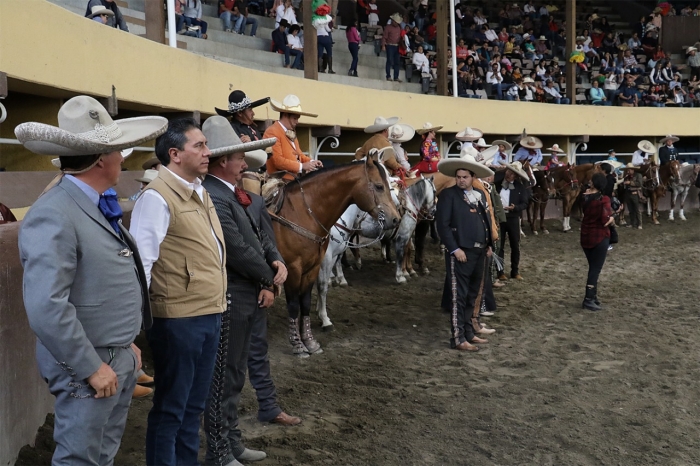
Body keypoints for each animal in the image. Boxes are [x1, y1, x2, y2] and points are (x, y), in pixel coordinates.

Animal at [272, 157, 400, 356]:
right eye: (380, 186)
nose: (395, 218)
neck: (302, 214)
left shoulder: (315, 265)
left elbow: (306, 300)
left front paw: (311, 340)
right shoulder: (294, 268)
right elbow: (299, 301)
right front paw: (300, 342)